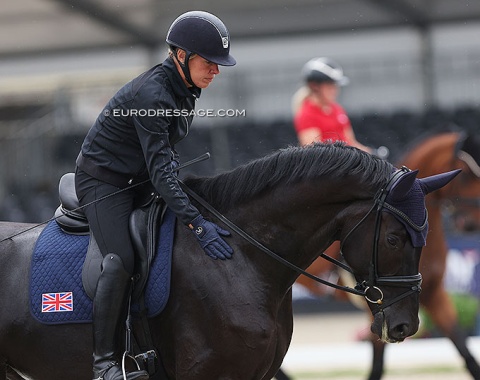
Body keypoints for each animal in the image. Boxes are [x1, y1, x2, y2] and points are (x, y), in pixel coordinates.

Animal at [292, 131, 480, 380]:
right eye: (466, 175)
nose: (473, 223)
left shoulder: (434, 294)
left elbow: (466, 351)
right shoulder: (379, 304)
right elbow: (377, 366)